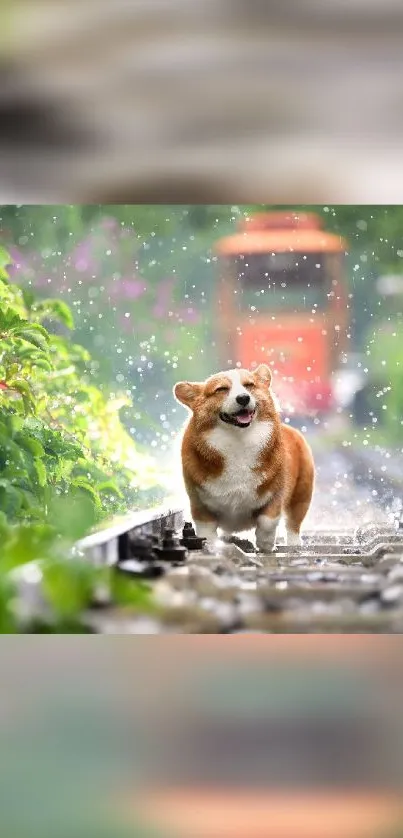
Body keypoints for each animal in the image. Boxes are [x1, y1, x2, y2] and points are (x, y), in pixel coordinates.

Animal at [174, 366, 316, 552]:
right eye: (221, 389)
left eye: (249, 385)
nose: (243, 398)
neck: (238, 440)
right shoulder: (199, 503)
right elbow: (207, 531)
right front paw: (211, 546)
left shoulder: (276, 494)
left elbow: (267, 521)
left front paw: (265, 544)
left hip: (302, 494)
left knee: (293, 523)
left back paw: (293, 544)